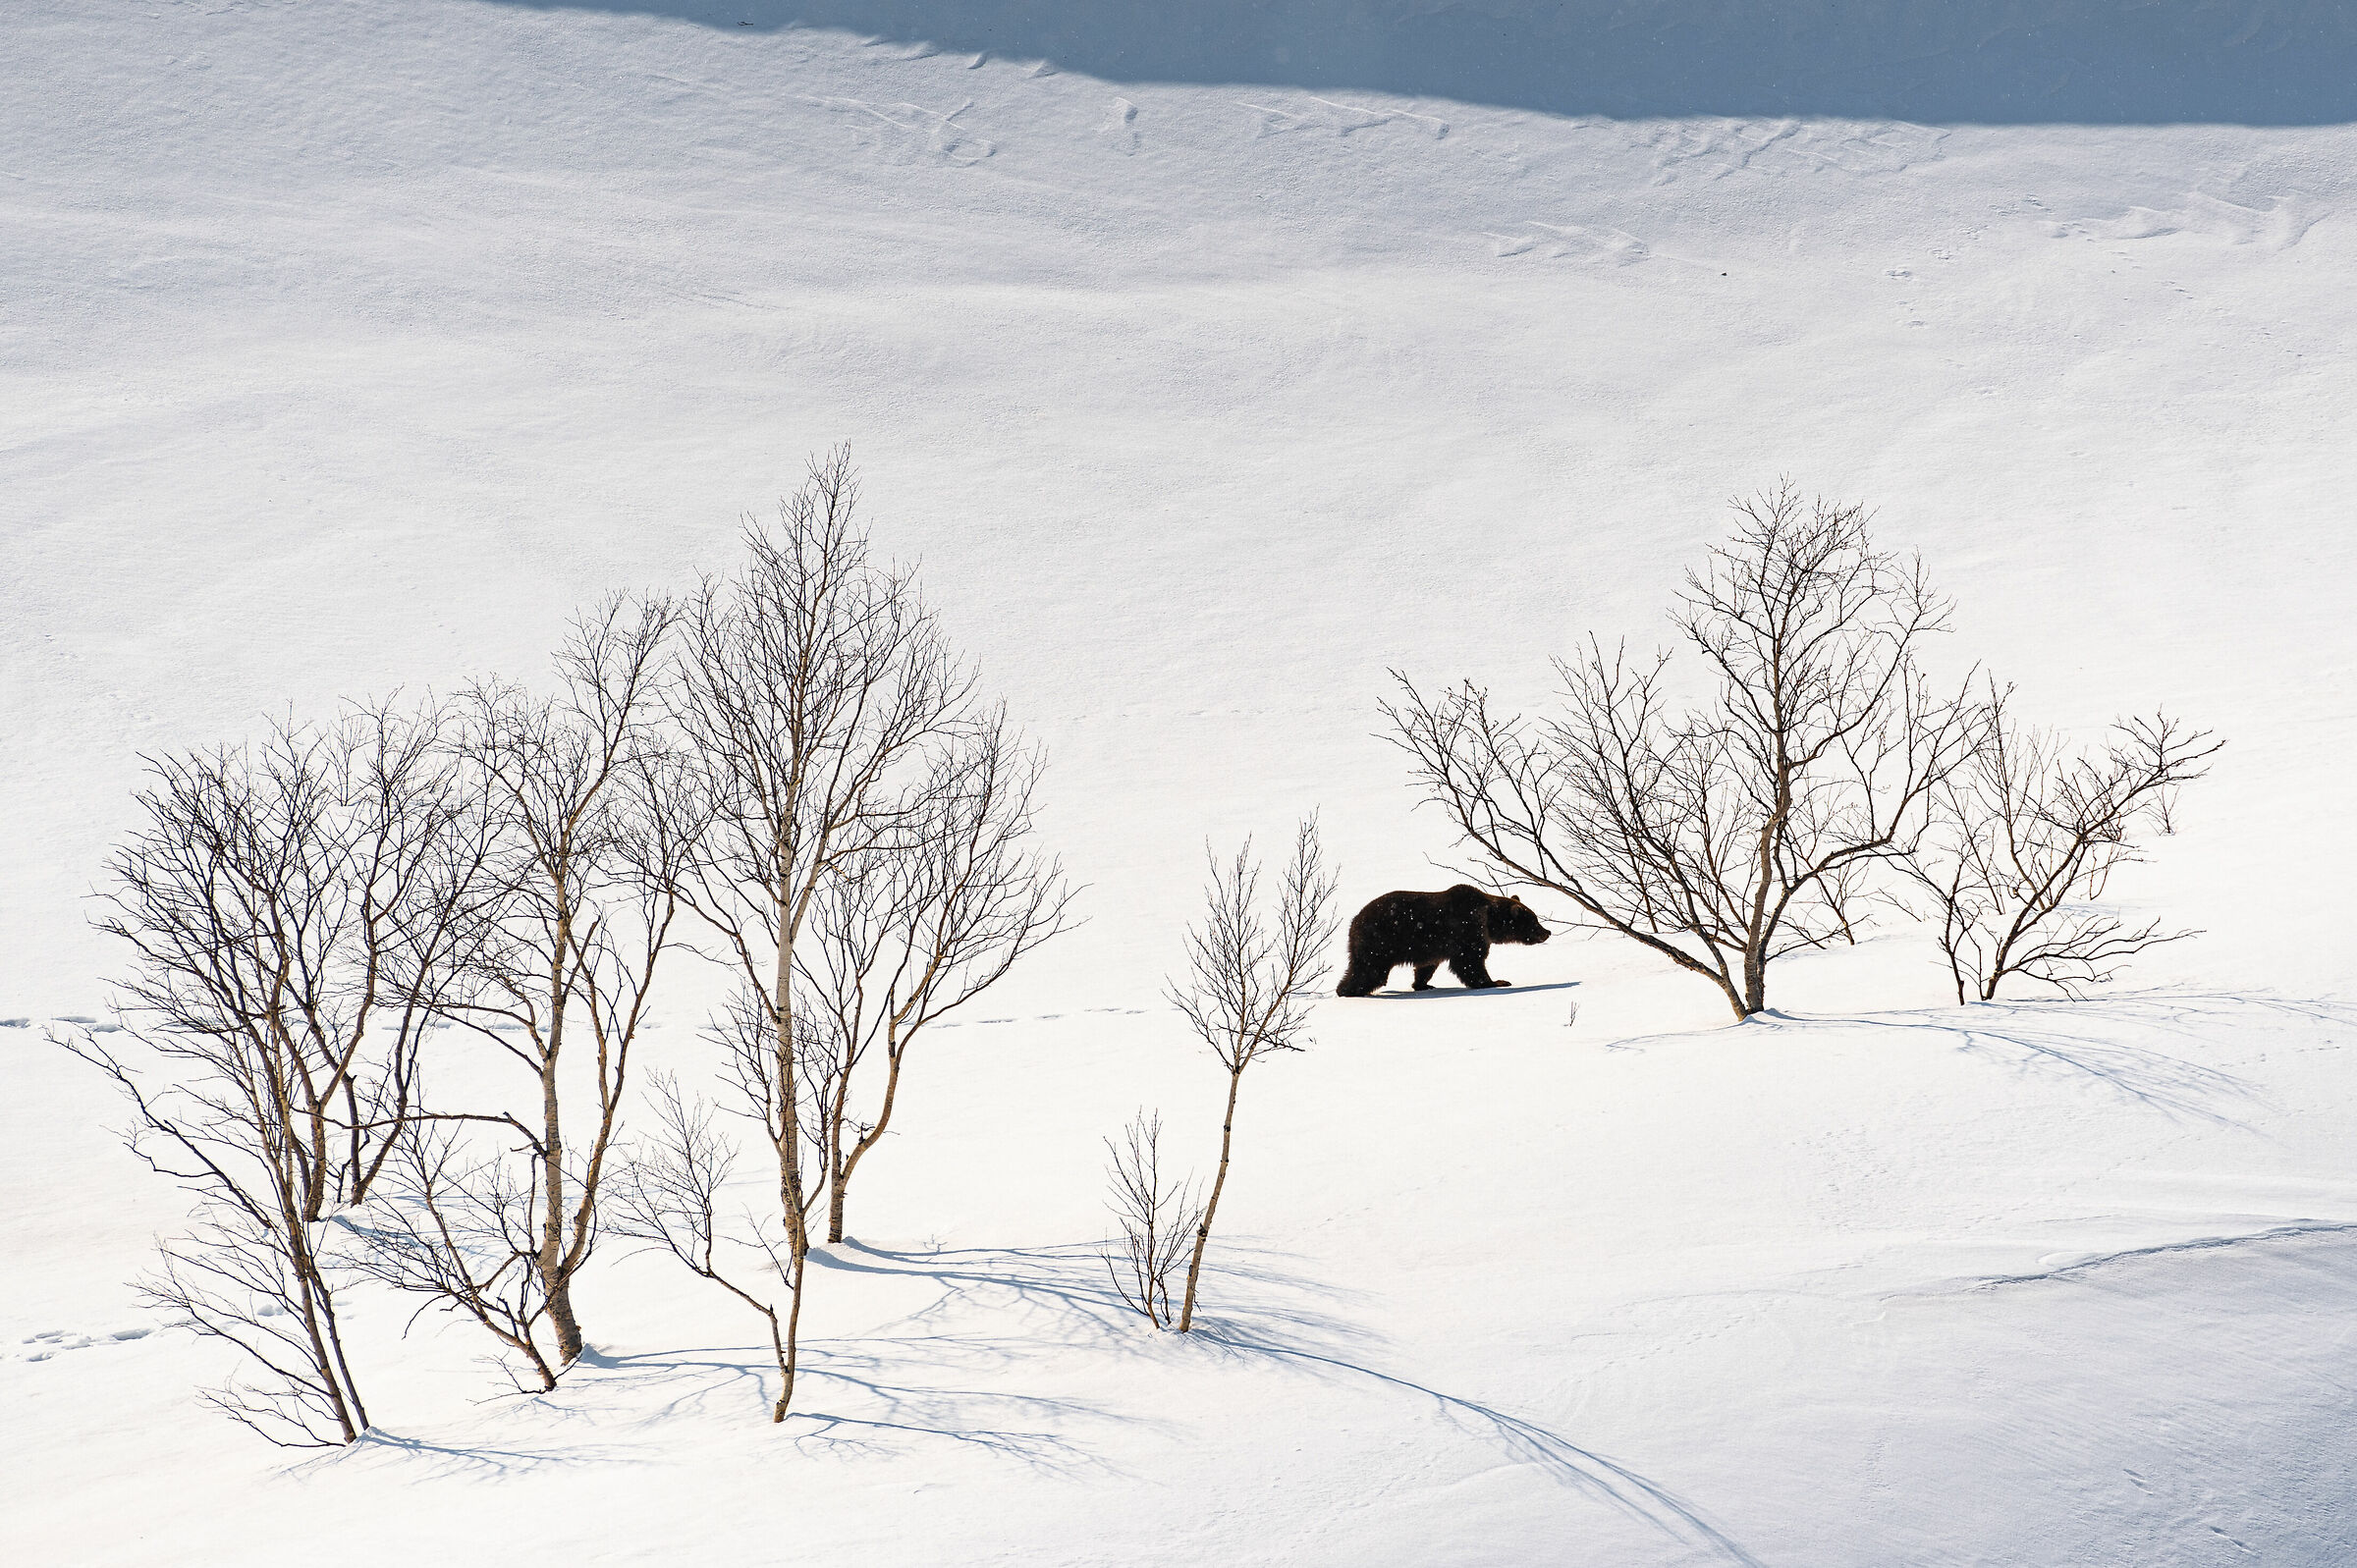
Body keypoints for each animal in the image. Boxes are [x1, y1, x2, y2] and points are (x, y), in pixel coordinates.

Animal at [1334, 884, 1551, 997]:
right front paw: (1497, 981)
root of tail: (1353, 922)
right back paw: (1347, 990)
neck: (1489, 921)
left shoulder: (1434, 946)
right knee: (1370, 971)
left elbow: (1427, 966)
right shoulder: (1467, 930)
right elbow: (1470, 962)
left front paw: (1422, 984)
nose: (1547, 932)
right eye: (1534, 921)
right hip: (1379, 942)